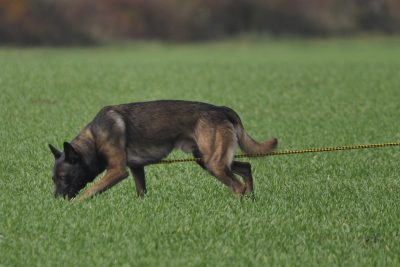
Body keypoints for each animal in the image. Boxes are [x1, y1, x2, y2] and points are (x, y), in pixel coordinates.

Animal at [48, 100, 276, 201]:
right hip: (206, 159)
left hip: (214, 163)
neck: (94, 138)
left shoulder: (117, 171)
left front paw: (74, 206)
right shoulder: (136, 168)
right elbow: (141, 192)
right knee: (246, 167)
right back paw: (252, 200)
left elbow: (89, 191)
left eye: (64, 177)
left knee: (237, 186)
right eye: (54, 179)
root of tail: (222, 109)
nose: (56, 200)